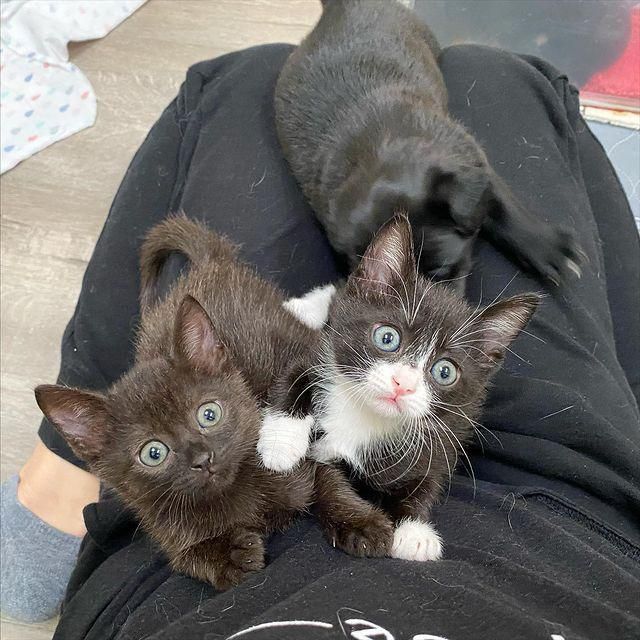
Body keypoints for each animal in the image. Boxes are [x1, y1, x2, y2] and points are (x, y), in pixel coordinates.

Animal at [37, 216, 392, 592]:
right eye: (153, 453)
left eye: (209, 414)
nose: (202, 459)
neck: (236, 492)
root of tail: (208, 265)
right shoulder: (167, 528)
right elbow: (191, 556)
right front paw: (231, 555)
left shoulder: (295, 456)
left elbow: (329, 483)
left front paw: (361, 524)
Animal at [272, 0, 584, 288]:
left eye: (443, 272)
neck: (379, 149)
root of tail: (342, 6)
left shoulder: (470, 159)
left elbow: (504, 207)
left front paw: (547, 248)